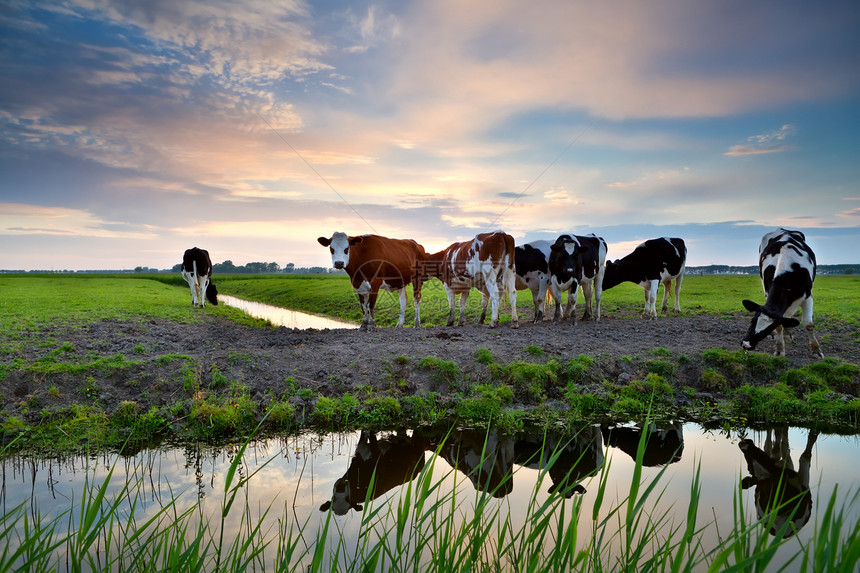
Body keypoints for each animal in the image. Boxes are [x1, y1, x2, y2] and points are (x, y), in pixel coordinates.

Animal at [740, 229, 828, 358]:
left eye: (767, 329)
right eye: (752, 320)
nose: (746, 344)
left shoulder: (808, 296)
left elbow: (808, 324)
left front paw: (816, 350)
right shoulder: (768, 292)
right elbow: (780, 325)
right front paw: (779, 348)